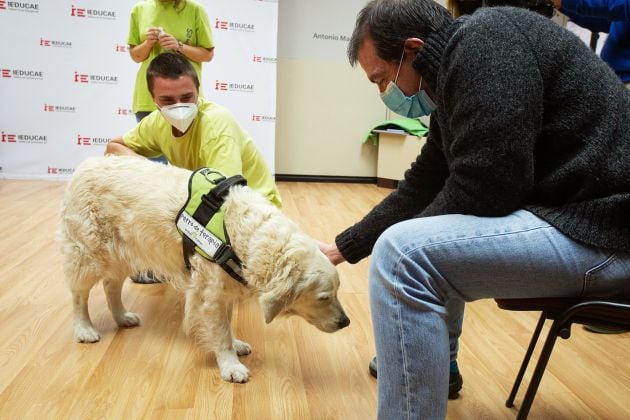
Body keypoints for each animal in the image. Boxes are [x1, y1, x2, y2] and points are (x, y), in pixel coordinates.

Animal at [59, 156, 350, 382]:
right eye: (324, 298)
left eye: (338, 292)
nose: (345, 322)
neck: (240, 236)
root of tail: (85, 164)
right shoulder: (210, 293)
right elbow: (219, 333)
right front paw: (231, 365)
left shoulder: (225, 290)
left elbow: (226, 326)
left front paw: (236, 345)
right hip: (87, 254)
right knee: (79, 296)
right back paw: (84, 329)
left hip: (122, 254)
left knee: (111, 286)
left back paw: (122, 316)